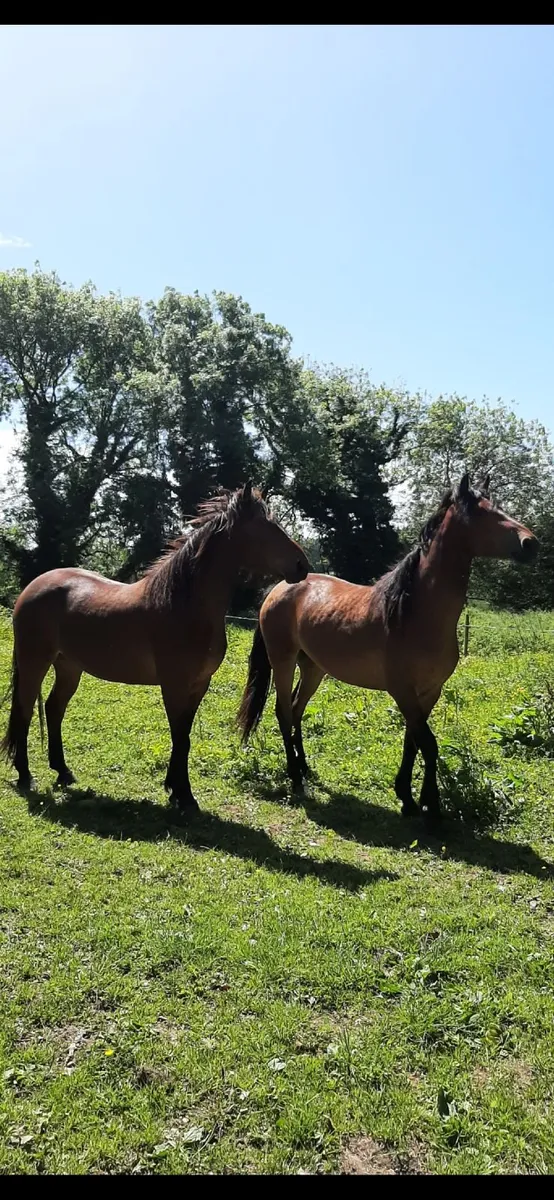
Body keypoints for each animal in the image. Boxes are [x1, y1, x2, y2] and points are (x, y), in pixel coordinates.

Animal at [1, 484, 310, 813]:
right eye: (264, 527)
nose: (302, 565)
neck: (183, 606)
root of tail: (33, 587)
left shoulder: (199, 684)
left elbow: (183, 735)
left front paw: (175, 790)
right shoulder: (174, 685)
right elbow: (180, 737)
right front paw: (184, 796)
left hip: (69, 666)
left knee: (53, 708)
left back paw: (63, 771)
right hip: (34, 661)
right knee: (24, 709)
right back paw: (25, 775)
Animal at [237, 473, 538, 823]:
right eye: (481, 513)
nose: (530, 543)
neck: (414, 613)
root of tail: (278, 588)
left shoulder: (429, 691)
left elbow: (413, 741)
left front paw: (408, 798)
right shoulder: (403, 690)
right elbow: (428, 744)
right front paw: (431, 808)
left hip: (313, 667)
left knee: (297, 709)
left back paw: (305, 767)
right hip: (282, 661)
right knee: (284, 711)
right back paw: (296, 778)